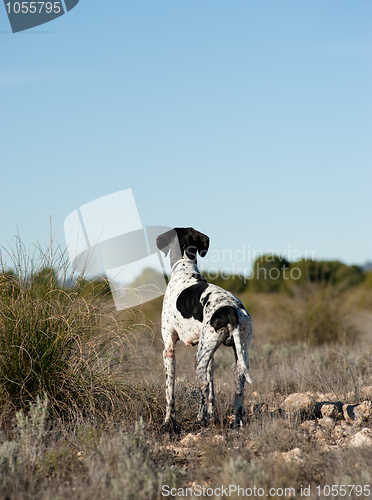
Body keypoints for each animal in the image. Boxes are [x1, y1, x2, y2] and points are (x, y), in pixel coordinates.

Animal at [155, 228, 251, 430]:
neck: (185, 267)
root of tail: (231, 309)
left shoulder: (169, 350)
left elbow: (169, 392)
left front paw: (169, 422)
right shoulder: (210, 354)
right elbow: (212, 392)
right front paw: (213, 417)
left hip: (199, 355)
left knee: (203, 384)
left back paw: (200, 419)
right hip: (237, 353)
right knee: (238, 390)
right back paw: (236, 424)